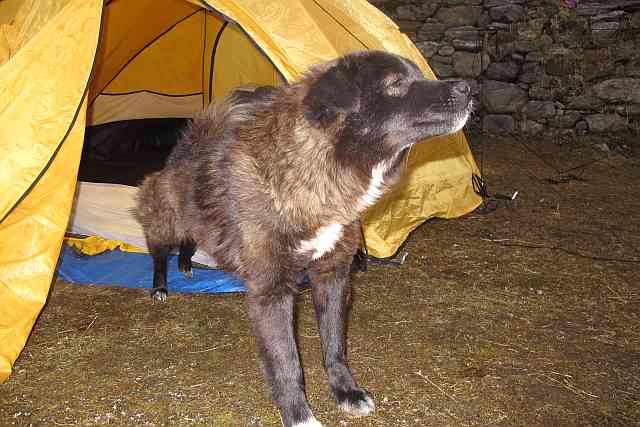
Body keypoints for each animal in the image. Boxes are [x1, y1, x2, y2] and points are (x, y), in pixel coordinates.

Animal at [135, 51, 472, 427]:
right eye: (395, 83)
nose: (466, 87)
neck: (317, 174)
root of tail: (185, 149)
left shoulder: (332, 276)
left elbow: (335, 346)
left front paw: (346, 392)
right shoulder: (273, 292)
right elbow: (287, 364)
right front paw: (299, 416)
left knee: (190, 243)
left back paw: (186, 266)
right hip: (164, 224)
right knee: (159, 253)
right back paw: (161, 286)